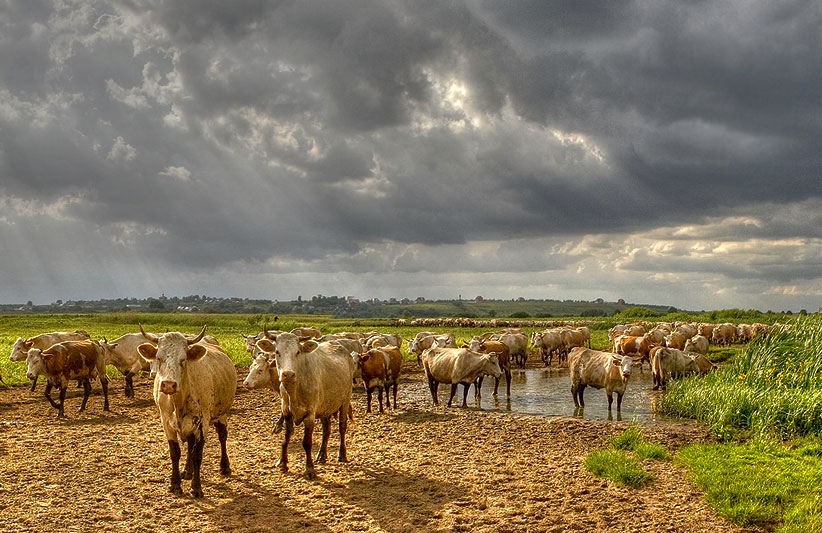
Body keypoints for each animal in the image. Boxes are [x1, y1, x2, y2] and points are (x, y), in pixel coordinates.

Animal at [139, 324, 238, 498]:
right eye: (158, 358)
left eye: (183, 359)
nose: (168, 385)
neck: (179, 400)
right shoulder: (166, 421)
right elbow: (175, 452)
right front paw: (175, 484)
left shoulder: (203, 423)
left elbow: (198, 454)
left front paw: (196, 488)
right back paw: (187, 471)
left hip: (222, 414)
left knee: (222, 437)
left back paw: (224, 466)